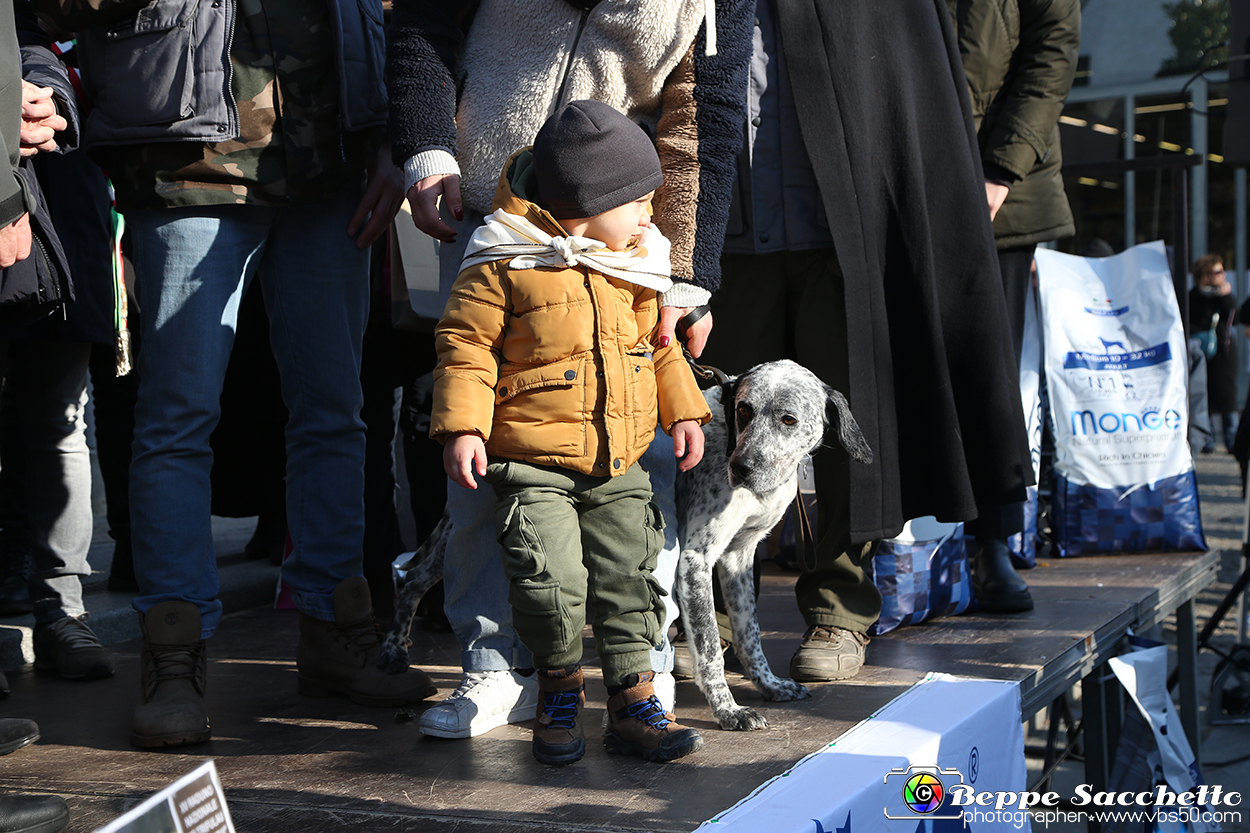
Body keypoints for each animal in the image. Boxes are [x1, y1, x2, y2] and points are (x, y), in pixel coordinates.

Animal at [675, 357, 870, 725]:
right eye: (744, 410)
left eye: (788, 419)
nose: (741, 467)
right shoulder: (695, 560)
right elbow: (709, 647)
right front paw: (727, 710)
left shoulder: (738, 555)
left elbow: (749, 634)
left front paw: (769, 685)